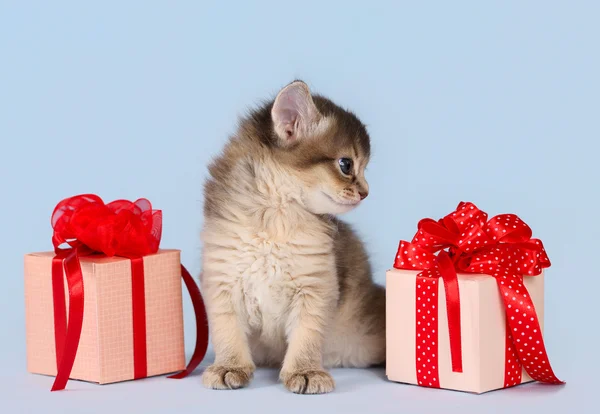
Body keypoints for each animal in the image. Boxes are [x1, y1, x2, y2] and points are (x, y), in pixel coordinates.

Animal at [200, 81, 384, 394]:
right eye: (346, 165)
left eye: (363, 169)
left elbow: (306, 335)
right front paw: (229, 366)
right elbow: (227, 331)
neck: (275, 219)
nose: (365, 192)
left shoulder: (316, 287)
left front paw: (306, 371)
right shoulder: (222, 280)